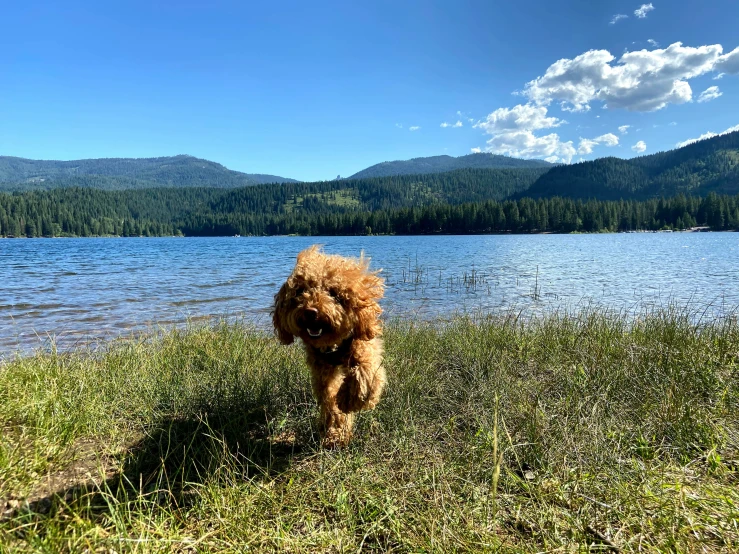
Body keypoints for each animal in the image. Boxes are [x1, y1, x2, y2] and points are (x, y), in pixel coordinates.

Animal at [274, 244, 388, 446]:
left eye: (333, 293)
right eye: (300, 291)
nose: (310, 311)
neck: (333, 346)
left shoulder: (364, 348)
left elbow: (366, 376)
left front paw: (349, 399)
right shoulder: (322, 370)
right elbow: (330, 399)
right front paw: (335, 432)